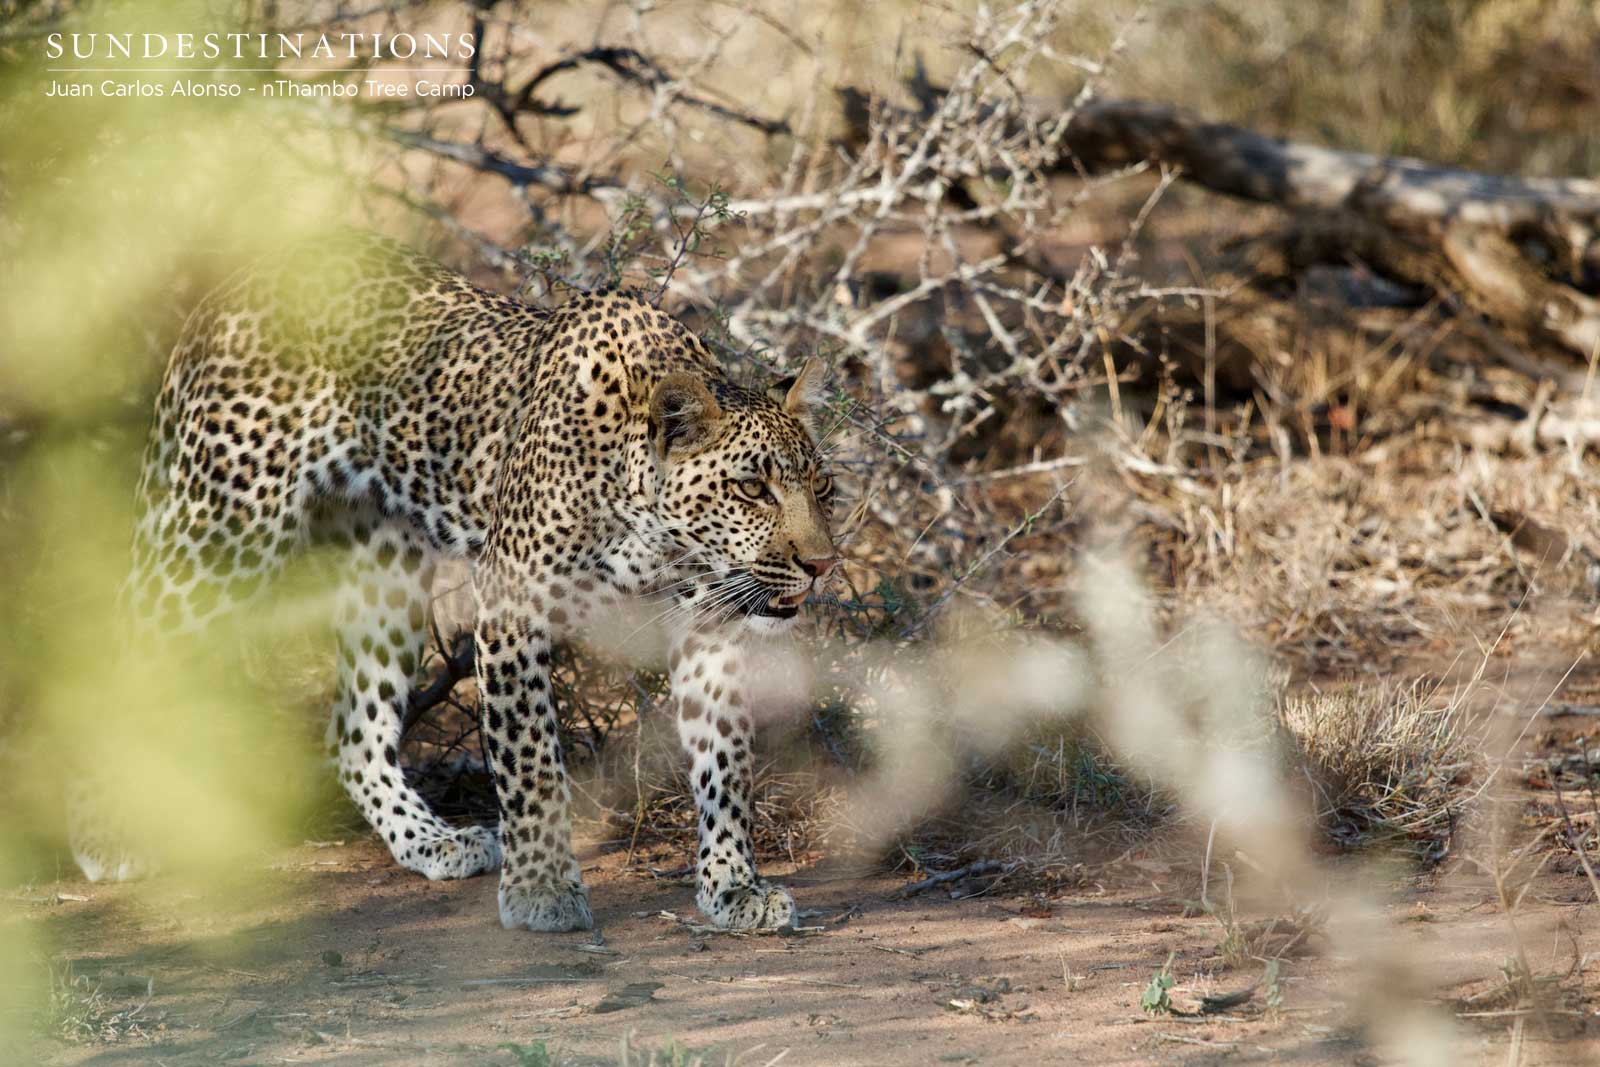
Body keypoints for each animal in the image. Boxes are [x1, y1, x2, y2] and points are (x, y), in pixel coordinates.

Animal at [72, 231, 839, 932]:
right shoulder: (513, 606)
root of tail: (231, 287)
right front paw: (542, 889)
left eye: (822, 486)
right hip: (218, 533)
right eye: (752, 488)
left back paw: (432, 841)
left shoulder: (707, 626)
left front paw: (734, 886)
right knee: (121, 654)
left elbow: (725, 761)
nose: (822, 564)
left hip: (383, 569)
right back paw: (103, 834)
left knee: (356, 728)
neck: (656, 533)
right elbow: (530, 761)